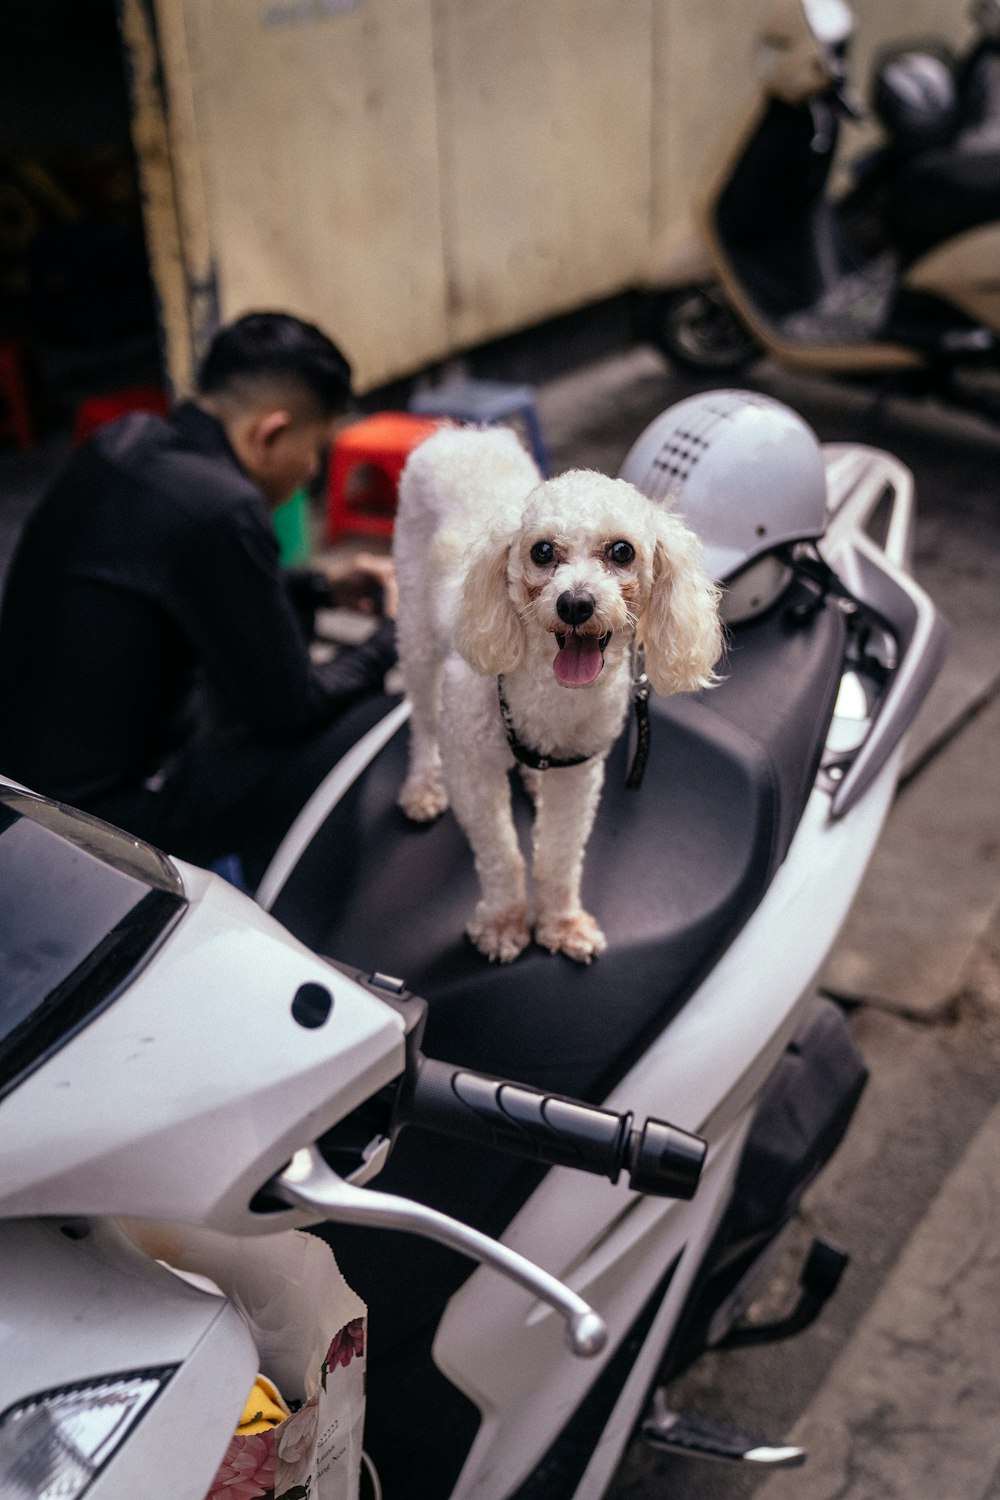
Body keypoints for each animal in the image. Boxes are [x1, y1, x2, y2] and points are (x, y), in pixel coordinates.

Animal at [395, 426, 722, 960]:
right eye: (543, 551)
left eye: (622, 551)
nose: (575, 604)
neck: (551, 697)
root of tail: (462, 433)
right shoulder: (471, 769)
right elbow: (502, 855)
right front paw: (503, 924)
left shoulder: (578, 774)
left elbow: (560, 855)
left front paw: (562, 924)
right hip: (416, 629)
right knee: (422, 719)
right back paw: (423, 785)